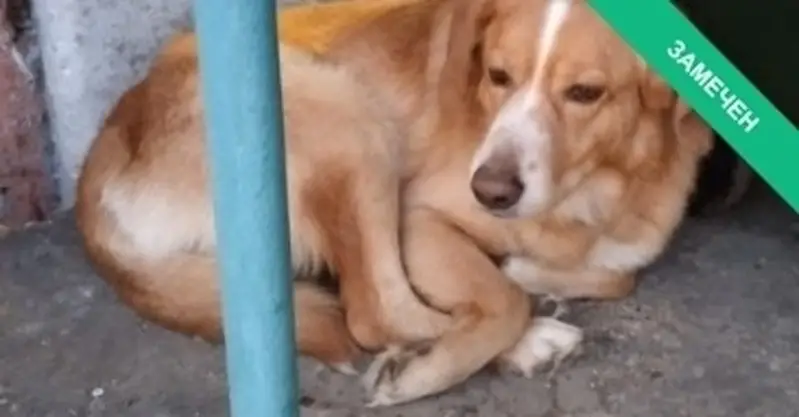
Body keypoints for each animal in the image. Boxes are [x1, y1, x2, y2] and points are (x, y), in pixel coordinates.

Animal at [314, 0, 714, 406]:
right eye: (497, 75)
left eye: (585, 93)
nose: (489, 192)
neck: (584, 198)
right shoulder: (420, 216)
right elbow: (506, 299)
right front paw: (427, 366)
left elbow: (620, 278)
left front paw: (522, 270)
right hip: (351, 116)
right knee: (374, 318)